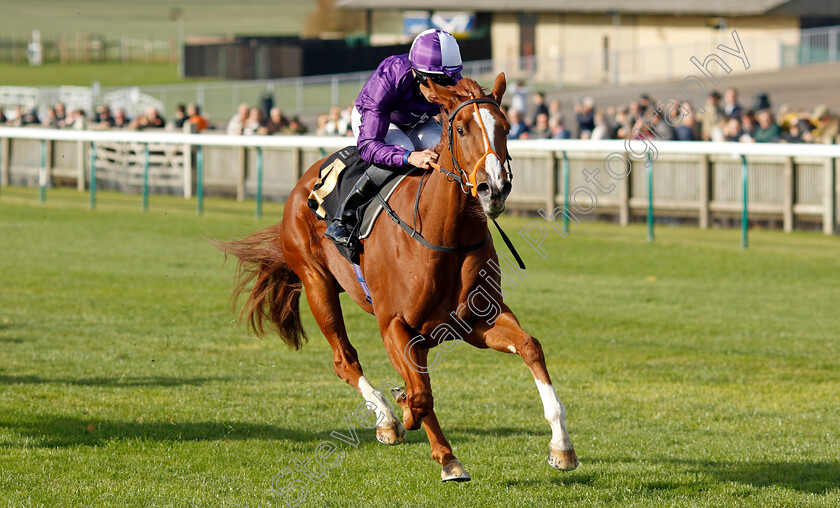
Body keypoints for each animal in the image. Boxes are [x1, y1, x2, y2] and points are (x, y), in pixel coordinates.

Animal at [218, 72, 576, 480]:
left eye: (506, 126)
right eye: (462, 128)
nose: (495, 187)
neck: (444, 235)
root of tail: (304, 180)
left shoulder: (476, 321)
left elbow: (530, 346)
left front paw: (561, 447)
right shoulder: (394, 324)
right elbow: (420, 393)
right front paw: (430, 440)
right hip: (315, 282)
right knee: (345, 359)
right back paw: (387, 421)